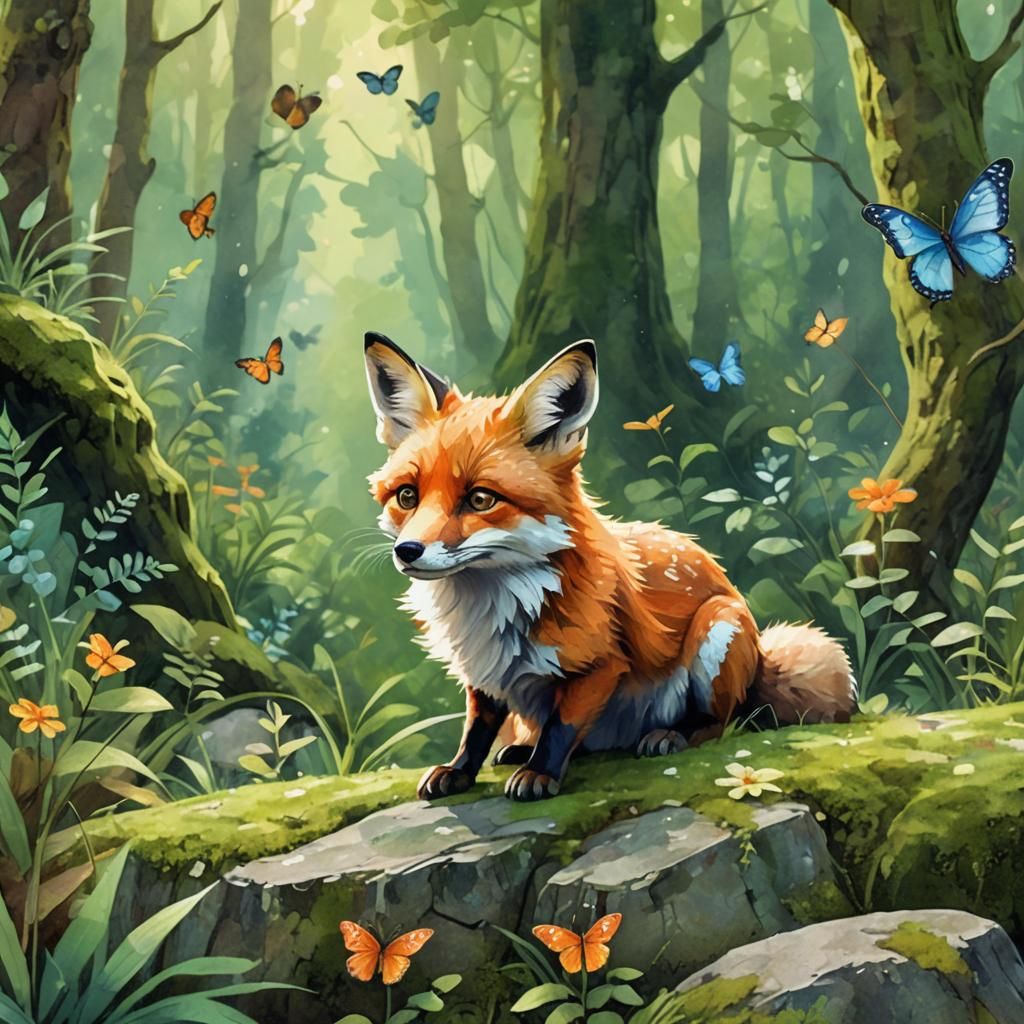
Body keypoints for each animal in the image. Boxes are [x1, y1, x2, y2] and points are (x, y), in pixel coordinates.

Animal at [363, 332, 856, 802]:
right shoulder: (483, 673)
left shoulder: (599, 667)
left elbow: (561, 727)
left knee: (722, 721)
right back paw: (522, 748)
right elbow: (477, 730)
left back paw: (669, 735)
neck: (491, 611)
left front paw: (541, 775)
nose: (408, 550)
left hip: (717, 631)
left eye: (481, 499)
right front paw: (460, 772)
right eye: (407, 496)